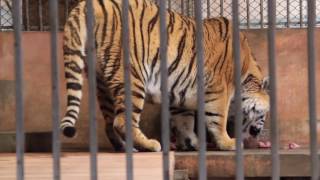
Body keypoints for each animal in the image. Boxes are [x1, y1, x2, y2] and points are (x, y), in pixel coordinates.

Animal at [60, 0, 270, 152]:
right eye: (264, 114)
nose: (258, 132)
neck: (246, 73)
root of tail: (87, 5)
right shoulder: (219, 90)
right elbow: (217, 119)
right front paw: (228, 143)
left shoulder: (181, 95)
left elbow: (184, 121)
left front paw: (191, 143)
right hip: (133, 76)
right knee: (122, 121)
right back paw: (150, 145)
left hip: (103, 83)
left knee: (110, 123)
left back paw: (126, 147)